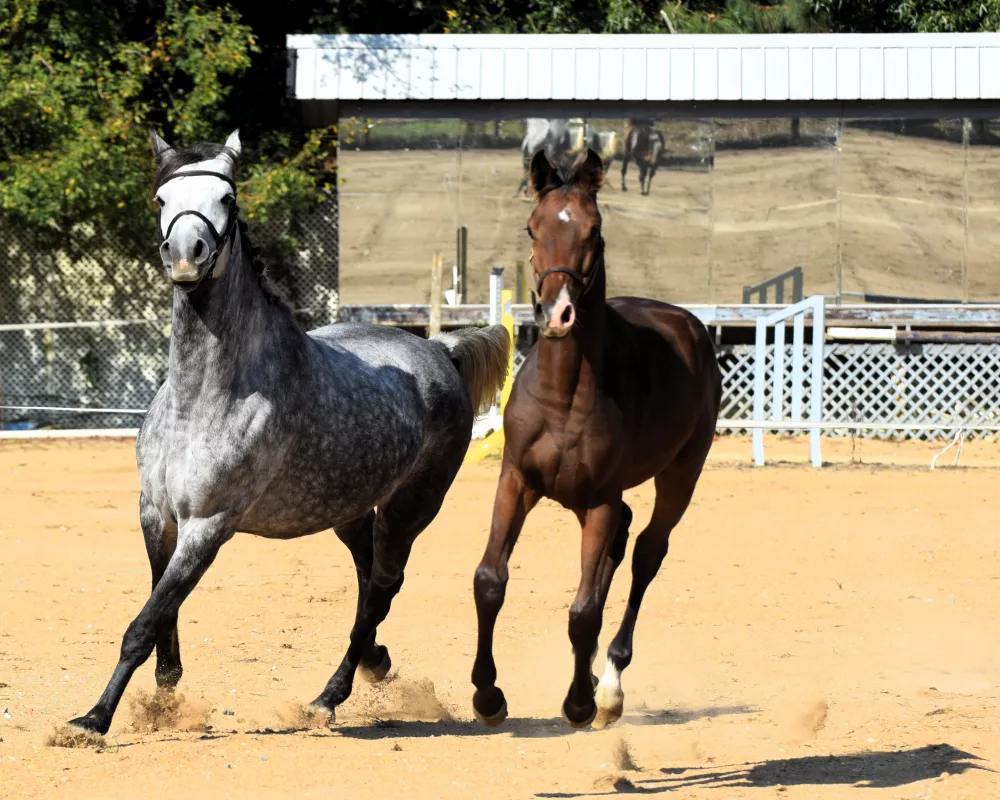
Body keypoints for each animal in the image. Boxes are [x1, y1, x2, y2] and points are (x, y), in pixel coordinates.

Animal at [68, 128, 508, 736]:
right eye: (161, 199)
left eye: (227, 199)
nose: (185, 256)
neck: (201, 398)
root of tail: (439, 349)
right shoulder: (155, 514)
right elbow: (163, 608)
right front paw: (164, 696)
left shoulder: (209, 525)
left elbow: (144, 623)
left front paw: (93, 719)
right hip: (347, 510)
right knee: (370, 579)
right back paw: (373, 661)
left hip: (410, 508)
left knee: (381, 587)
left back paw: (330, 695)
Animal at [468, 148, 720, 732]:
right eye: (532, 227)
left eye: (594, 230)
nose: (557, 314)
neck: (565, 394)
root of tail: (689, 325)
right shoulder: (516, 480)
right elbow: (490, 580)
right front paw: (488, 696)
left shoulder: (601, 497)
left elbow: (583, 611)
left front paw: (580, 703)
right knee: (622, 546)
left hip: (680, 475)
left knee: (646, 554)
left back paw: (608, 688)